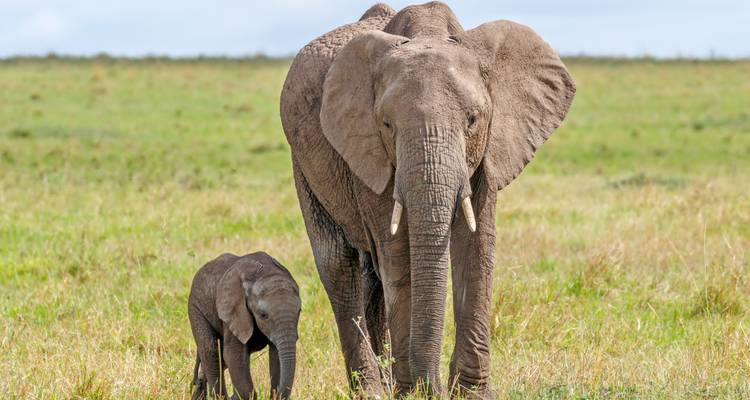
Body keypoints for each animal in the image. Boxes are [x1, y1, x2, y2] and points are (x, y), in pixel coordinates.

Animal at [188, 252, 301, 400]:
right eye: (263, 315)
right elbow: (232, 354)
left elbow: (276, 354)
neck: (263, 273)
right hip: (196, 308)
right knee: (211, 350)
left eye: (299, 312)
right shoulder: (233, 311)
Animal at [280, 2, 575, 398]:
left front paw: (470, 394)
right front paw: (414, 392)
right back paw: (373, 390)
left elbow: (477, 246)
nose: (429, 386)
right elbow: (397, 251)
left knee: (371, 276)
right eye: (386, 124)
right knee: (339, 263)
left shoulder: (491, 148)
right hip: (303, 162)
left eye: (472, 120)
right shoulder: (367, 151)